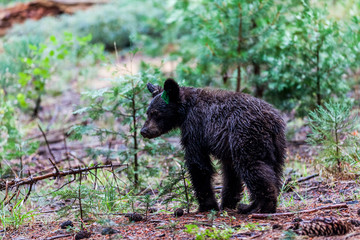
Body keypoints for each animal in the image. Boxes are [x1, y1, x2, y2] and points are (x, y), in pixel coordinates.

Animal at [141, 79, 286, 214]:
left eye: (156, 113)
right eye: (147, 112)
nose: (144, 131)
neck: (186, 110)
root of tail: (272, 122)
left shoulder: (196, 129)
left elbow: (198, 164)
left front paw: (207, 205)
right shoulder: (228, 147)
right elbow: (230, 173)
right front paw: (227, 203)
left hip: (247, 139)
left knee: (253, 167)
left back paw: (263, 207)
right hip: (276, 147)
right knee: (275, 171)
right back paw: (251, 206)